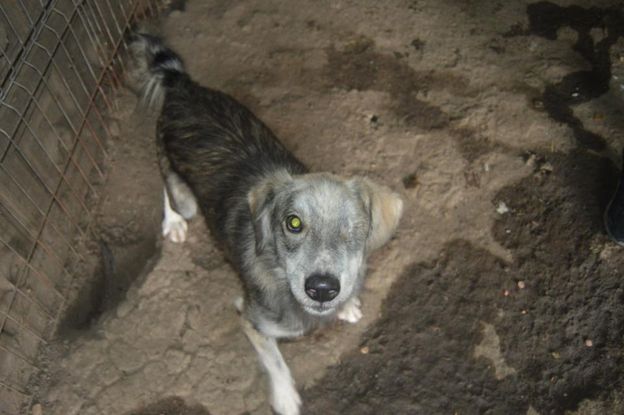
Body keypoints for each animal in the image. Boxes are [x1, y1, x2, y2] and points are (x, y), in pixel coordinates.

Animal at [129, 33, 403, 415]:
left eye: (355, 226)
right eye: (293, 223)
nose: (322, 288)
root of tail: (182, 85)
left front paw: (347, 304)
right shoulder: (250, 318)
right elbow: (275, 362)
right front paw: (286, 399)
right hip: (182, 192)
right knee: (166, 186)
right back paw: (173, 223)